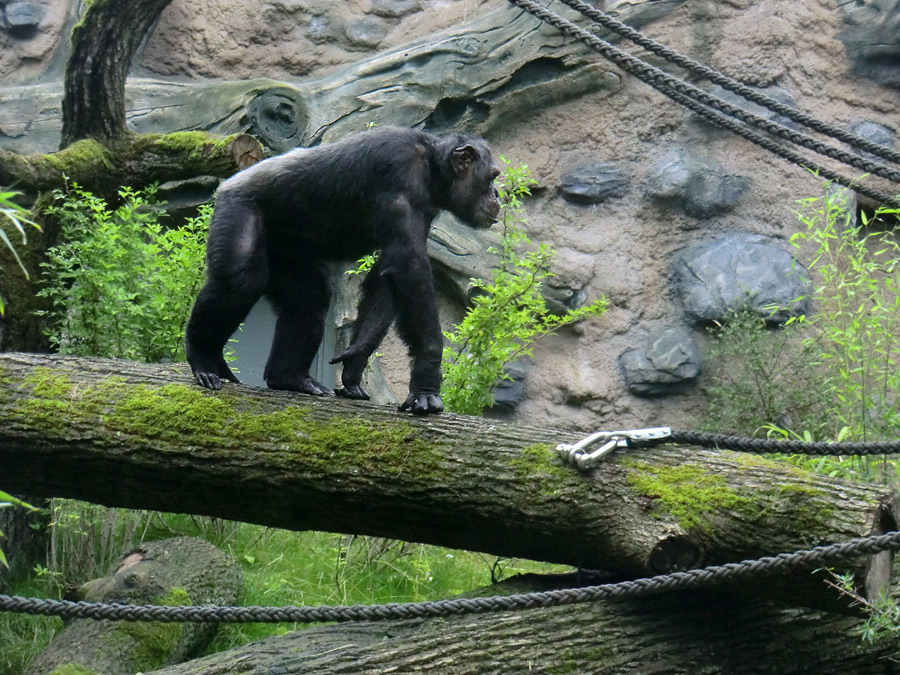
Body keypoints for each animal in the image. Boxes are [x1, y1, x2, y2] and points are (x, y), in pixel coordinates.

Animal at [184, 125, 502, 414]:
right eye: (492, 177)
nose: (498, 195)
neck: (432, 169)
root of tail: (227, 184)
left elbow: (389, 273)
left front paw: (355, 360)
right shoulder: (399, 170)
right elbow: (408, 266)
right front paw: (426, 381)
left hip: (285, 248)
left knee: (308, 297)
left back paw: (290, 378)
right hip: (238, 209)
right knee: (240, 281)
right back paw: (204, 360)